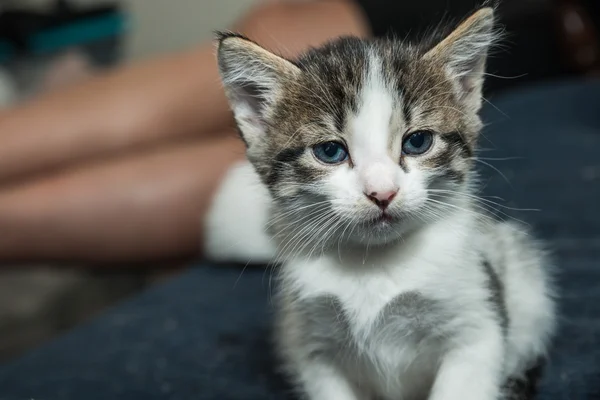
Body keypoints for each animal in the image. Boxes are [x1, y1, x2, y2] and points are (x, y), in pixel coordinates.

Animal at [213, 6, 556, 400]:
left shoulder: (476, 323)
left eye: (418, 142)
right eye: (329, 151)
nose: (382, 192)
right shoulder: (312, 345)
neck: (375, 263)